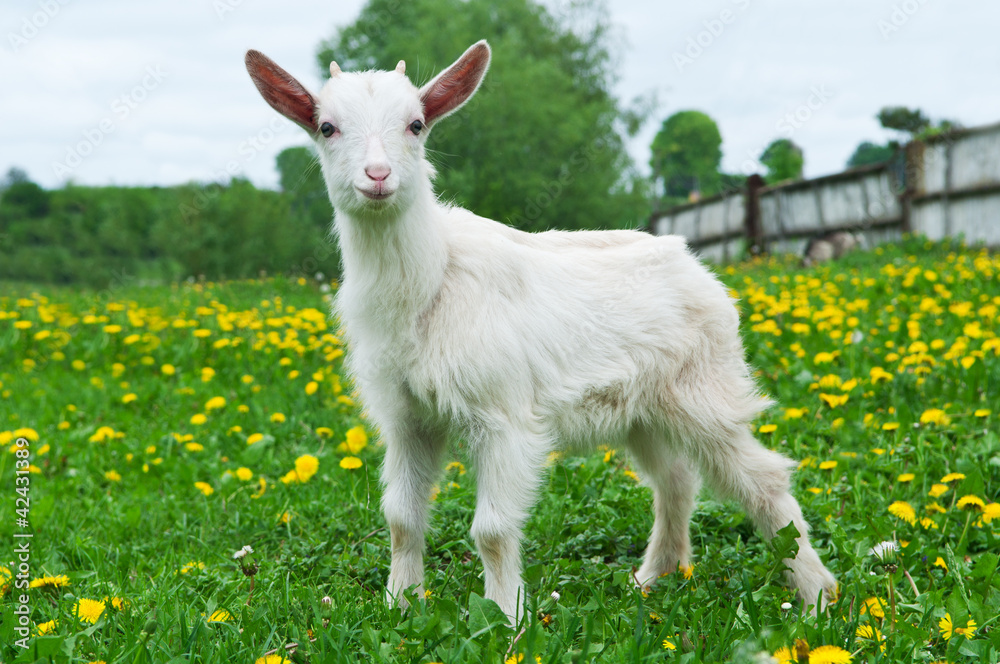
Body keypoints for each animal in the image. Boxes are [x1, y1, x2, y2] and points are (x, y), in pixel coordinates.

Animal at [245, 40, 837, 623]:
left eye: (416, 124)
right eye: (326, 127)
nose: (377, 176)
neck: (430, 281)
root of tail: (694, 263)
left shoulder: (504, 414)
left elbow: (491, 530)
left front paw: (505, 619)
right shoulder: (407, 417)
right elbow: (400, 517)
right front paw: (401, 604)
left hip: (705, 388)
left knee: (763, 479)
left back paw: (814, 597)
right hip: (643, 411)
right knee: (674, 479)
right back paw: (653, 578)